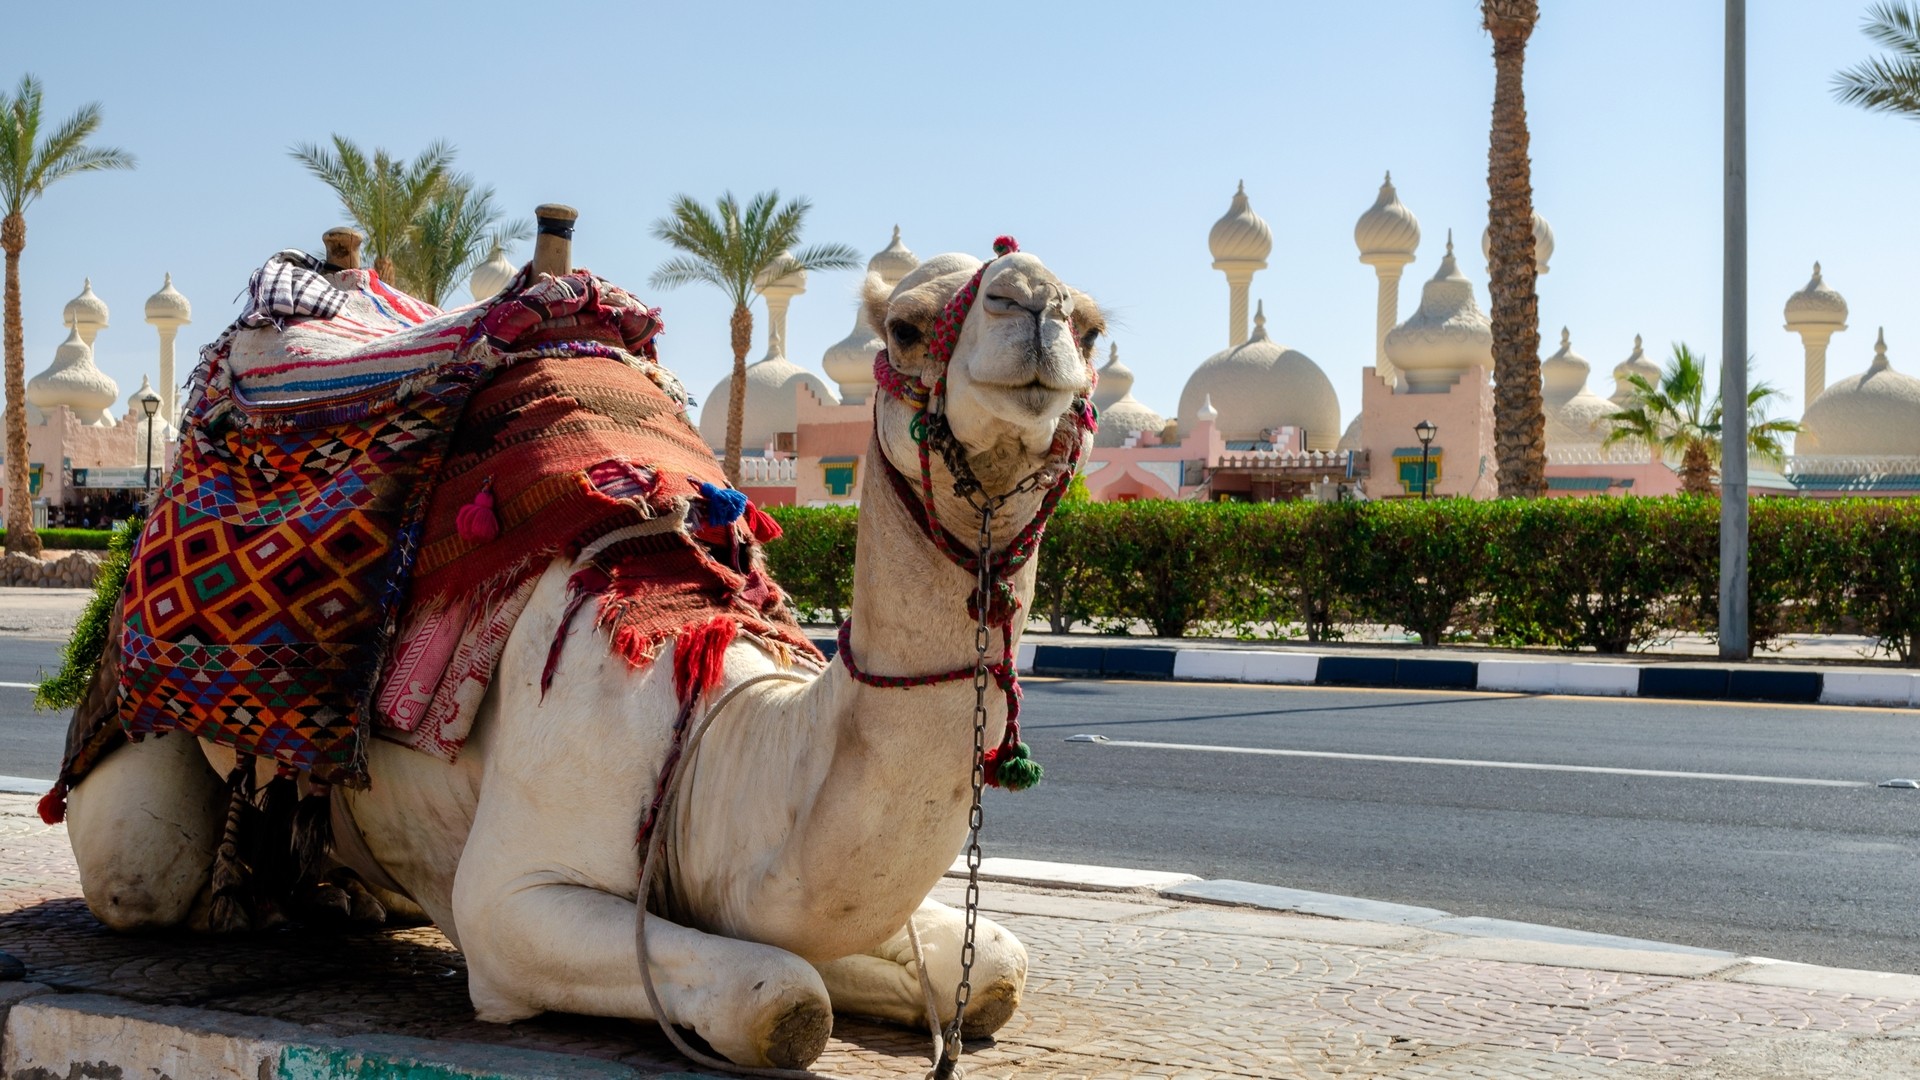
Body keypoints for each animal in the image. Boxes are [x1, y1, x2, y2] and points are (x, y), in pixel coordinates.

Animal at [59, 226, 1105, 1070]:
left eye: (1094, 330)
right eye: (908, 327)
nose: (1038, 305)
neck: (712, 736)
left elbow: (991, 968)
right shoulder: (513, 900)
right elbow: (783, 1001)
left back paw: (343, 897)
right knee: (138, 871)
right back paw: (250, 900)